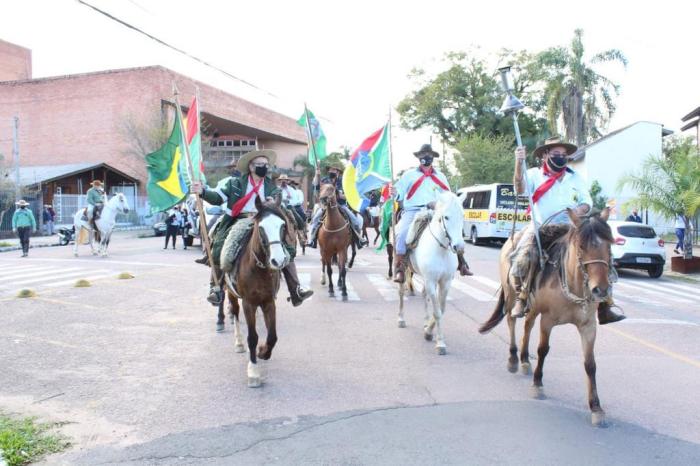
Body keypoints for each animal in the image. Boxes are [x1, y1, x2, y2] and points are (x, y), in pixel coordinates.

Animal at [221, 195, 292, 388]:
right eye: (261, 228)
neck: (259, 269)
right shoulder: (249, 304)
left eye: (283, 225)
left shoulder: (269, 302)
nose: (278, 260)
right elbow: (252, 337)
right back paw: (238, 342)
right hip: (231, 293)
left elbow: (272, 336)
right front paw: (253, 371)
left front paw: (263, 352)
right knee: (235, 312)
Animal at [396, 191, 468, 354]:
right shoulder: (431, 280)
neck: (440, 249)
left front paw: (429, 330)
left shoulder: (445, 282)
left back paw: (425, 321)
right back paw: (401, 319)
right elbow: (438, 311)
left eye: (462, 215)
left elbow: (441, 309)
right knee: (402, 291)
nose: (459, 247)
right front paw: (440, 342)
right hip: (406, 271)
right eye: (446, 217)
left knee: (424, 295)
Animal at [482, 208, 612, 426]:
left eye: (609, 244)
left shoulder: (588, 325)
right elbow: (543, 350)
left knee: (527, 325)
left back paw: (525, 360)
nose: (600, 290)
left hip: (533, 307)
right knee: (512, 321)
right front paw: (537, 384)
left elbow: (590, 364)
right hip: (511, 296)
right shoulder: (548, 320)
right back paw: (513, 359)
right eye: (582, 246)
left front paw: (596, 408)